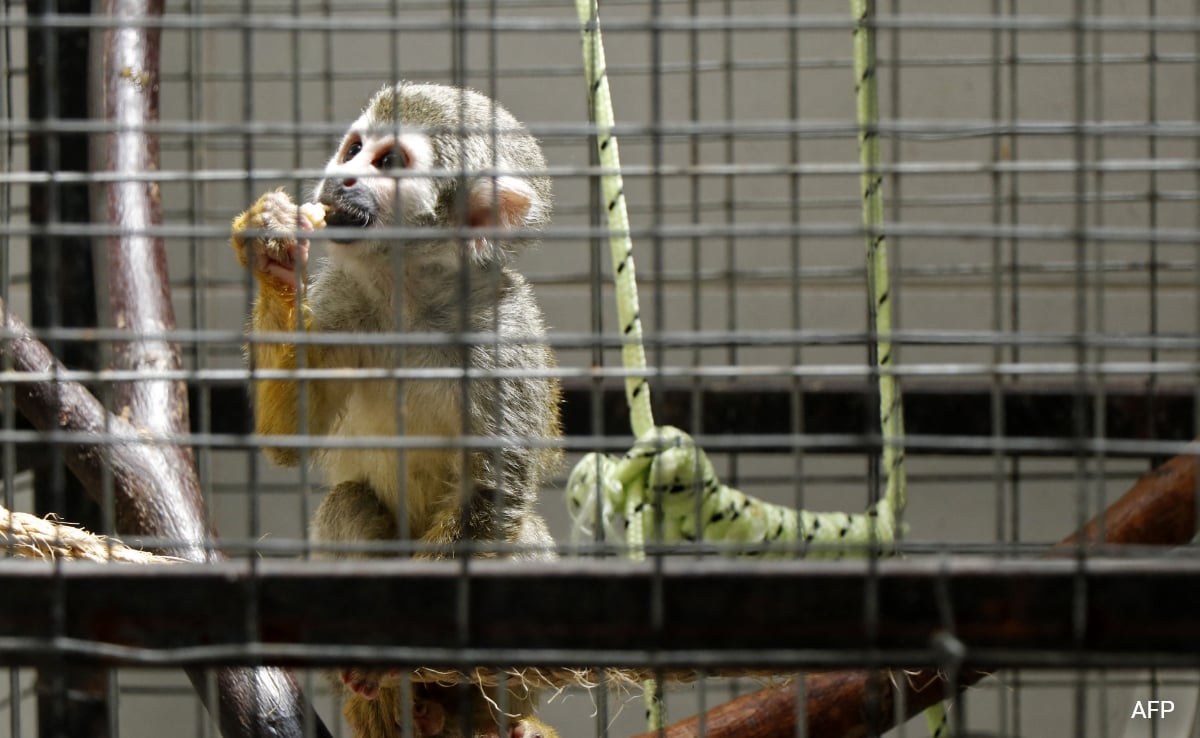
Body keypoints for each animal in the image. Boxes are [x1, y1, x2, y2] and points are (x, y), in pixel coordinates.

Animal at [232, 82, 561, 738]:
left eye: (388, 162)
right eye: (354, 148)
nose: (341, 176)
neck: (414, 301)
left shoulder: (502, 335)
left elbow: (492, 492)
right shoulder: (342, 299)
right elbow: (289, 438)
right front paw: (274, 254)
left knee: (523, 540)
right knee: (349, 502)